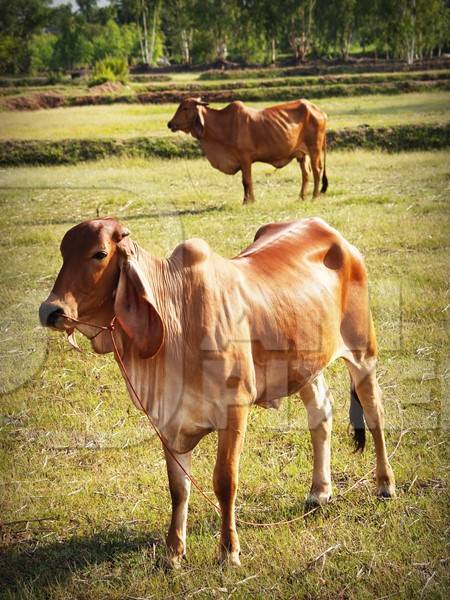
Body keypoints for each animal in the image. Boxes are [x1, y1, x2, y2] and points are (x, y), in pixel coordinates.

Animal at [40, 216, 396, 568]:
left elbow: (225, 482)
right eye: (62, 252)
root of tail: (329, 230)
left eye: (99, 254)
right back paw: (320, 491)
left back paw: (385, 484)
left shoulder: (234, 408)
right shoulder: (167, 419)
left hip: (363, 352)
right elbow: (178, 487)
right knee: (321, 415)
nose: (50, 311)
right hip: (305, 364)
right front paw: (173, 552)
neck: (178, 319)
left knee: (374, 412)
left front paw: (228, 550)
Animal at [167, 96, 328, 204]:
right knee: (306, 173)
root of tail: (319, 110)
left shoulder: (245, 158)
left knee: (316, 171)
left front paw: (249, 201)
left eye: (185, 108)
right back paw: (301, 197)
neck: (223, 124)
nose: (170, 124)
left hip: (314, 149)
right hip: (302, 155)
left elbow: (247, 181)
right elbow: (244, 181)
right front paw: (247, 200)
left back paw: (314, 197)